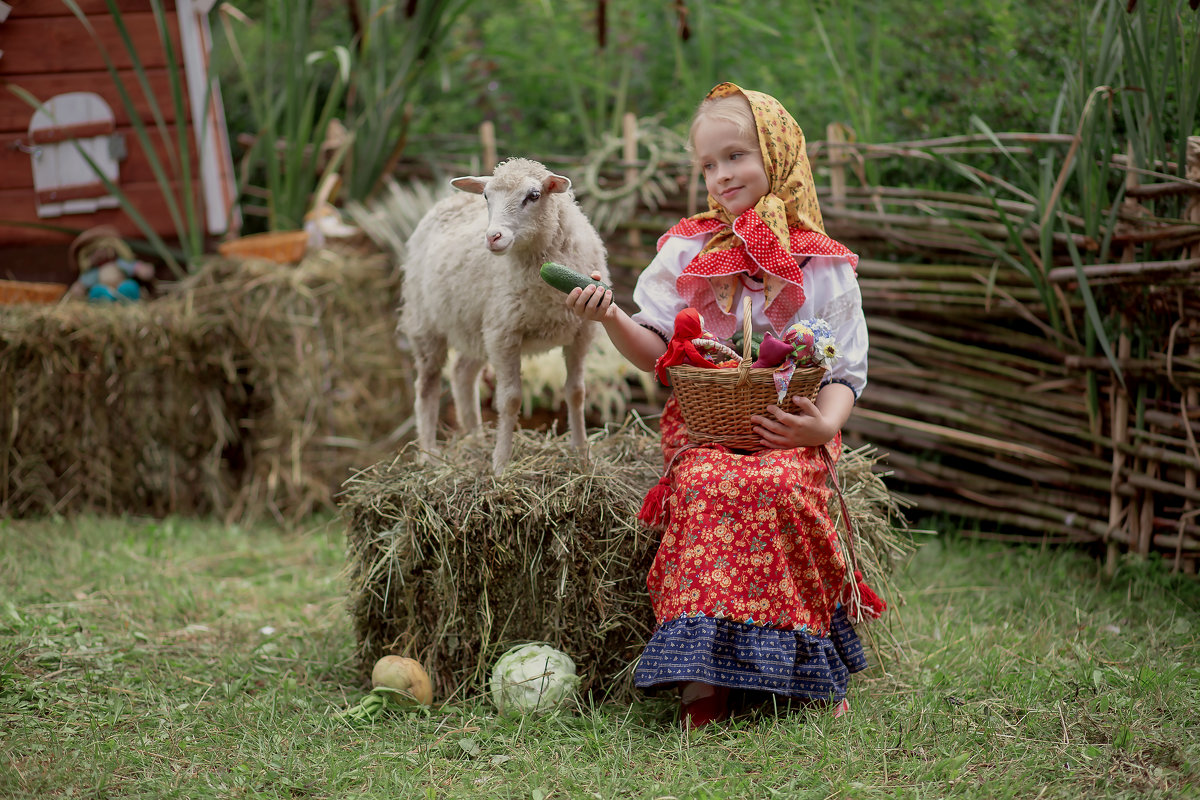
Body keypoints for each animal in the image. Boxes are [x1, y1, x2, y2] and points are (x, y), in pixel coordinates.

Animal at [398, 157, 609, 472]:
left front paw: (582, 455)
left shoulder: (581, 332)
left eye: (534, 195)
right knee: (427, 385)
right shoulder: (504, 333)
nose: (493, 237)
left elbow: (576, 392)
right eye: (486, 196)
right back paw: (429, 455)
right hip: (426, 323)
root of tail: (450, 200)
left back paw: (475, 440)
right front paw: (500, 465)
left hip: (473, 326)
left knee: (462, 373)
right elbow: (510, 399)